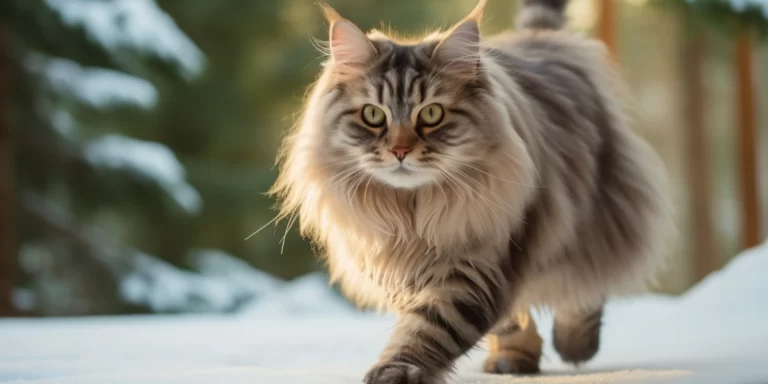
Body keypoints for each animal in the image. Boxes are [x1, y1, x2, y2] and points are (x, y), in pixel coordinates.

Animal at [268, 0, 672, 382]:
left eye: (431, 115)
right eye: (373, 115)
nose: (400, 150)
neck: (411, 211)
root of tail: (537, 38)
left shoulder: (476, 266)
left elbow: (429, 329)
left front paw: (397, 371)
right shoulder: (410, 267)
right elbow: (491, 318)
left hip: (592, 215)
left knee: (585, 281)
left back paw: (575, 345)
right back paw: (514, 358)